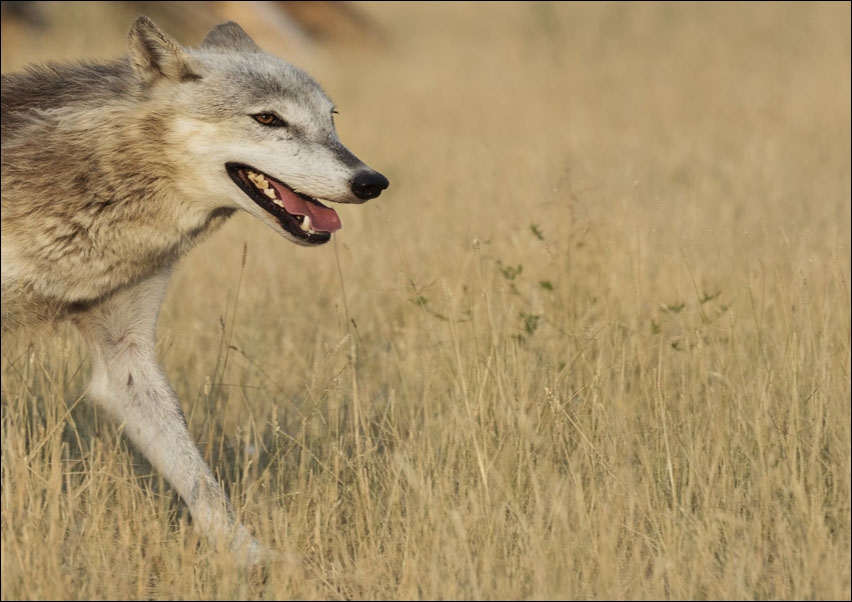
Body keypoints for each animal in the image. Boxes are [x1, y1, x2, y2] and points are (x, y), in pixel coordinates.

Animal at [2, 16, 390, 560]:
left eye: (331, 119)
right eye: (268, 119)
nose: (371, 181)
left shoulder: (125, 353)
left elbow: (199, 477)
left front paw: (250, 558)